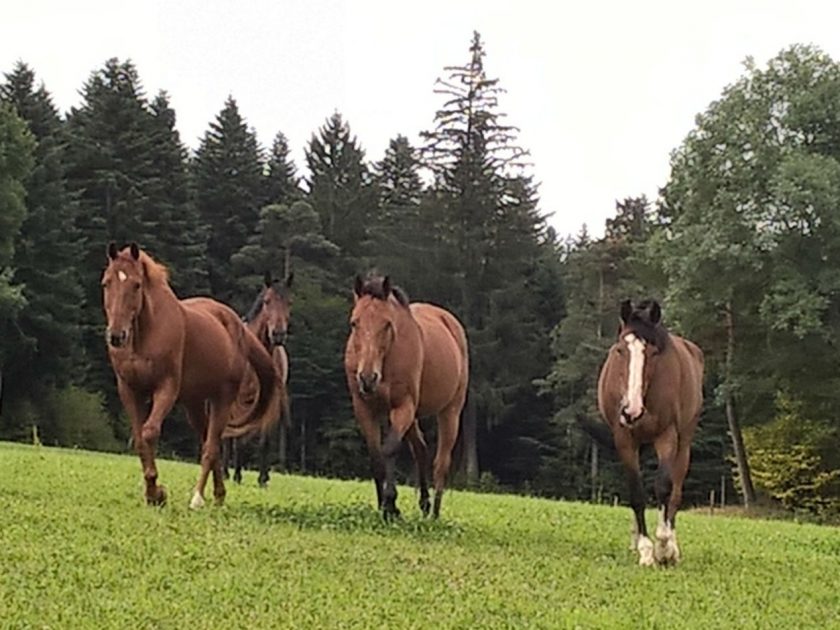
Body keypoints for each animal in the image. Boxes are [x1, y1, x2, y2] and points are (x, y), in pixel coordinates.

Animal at [101, 244, 282, 512]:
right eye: (106, 283)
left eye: (136, 285)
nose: (116, 335)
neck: (145, 335)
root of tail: (238, 327)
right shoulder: (130, 390)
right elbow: (140, 439)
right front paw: (153, 493)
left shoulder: (166, 388)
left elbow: (149, 432)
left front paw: (156, 492)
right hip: (194, 403)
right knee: (210, 441)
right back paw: (219, 494)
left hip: (222, 398)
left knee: (211, 445)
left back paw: (198, 497)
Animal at [223, 272, 292, 488]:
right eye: (267, 301)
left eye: (289, 302)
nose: (278, 334)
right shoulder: (240, 400)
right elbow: (238, 439)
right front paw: (237, 475)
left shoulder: (270, 402)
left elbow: (264, 441)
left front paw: (263, 478)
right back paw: (225, 472)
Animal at [344, 276, 470, 520]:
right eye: (355, 323)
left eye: (387, 324)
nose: (367, 378)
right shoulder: (364, 409)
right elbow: (376, 458)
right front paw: (383, 505)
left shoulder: (403, 407)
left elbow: (390, 449)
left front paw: (391, 504)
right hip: (414, 416)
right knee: (421, 450)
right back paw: (424, 505)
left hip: (450, 411)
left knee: (441, 462)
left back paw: (434, 515)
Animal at [576, 300, 704, 568]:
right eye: (620, 350)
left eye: (653, 352)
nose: (631, 410)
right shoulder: (625, 439)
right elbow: (636, 492)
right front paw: (645, 550)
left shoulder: (667, 436)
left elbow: (664, 487)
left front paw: (663, 548)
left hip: (684, 441)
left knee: (675, 492)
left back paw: (672, 547)